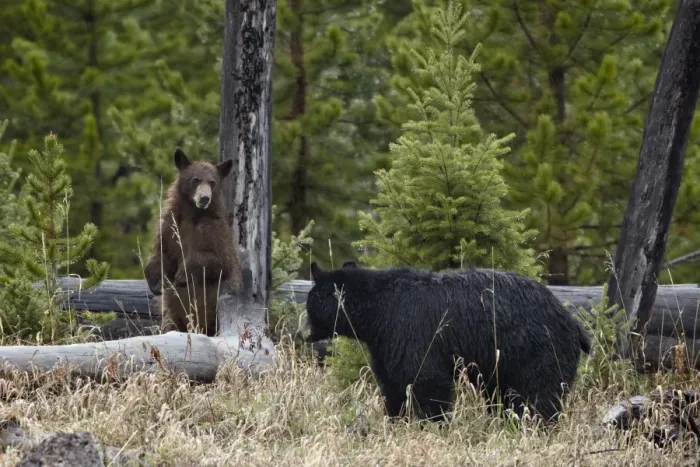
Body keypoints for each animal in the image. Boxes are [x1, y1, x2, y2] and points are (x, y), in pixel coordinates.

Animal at [144, 147, 242, 337]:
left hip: (215, 315)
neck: (192, 215)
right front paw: (156, 281)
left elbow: (220, 260)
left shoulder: (214, 232)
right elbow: (162, 253)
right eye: (195, 179)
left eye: (212, 182)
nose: (204, 198)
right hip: (173, 314)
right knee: (170, 323)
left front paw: (182, 274)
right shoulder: (169, 227)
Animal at [298, 261, 592, 423]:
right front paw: (396, 418)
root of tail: (575, 325)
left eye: (309, 304)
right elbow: (392, 383)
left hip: (537, 350)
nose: (303, 333)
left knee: (539, 394)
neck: (376, 313)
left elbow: (426, 379)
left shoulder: (410, 331)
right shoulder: (385, 344)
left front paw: (434, 423)